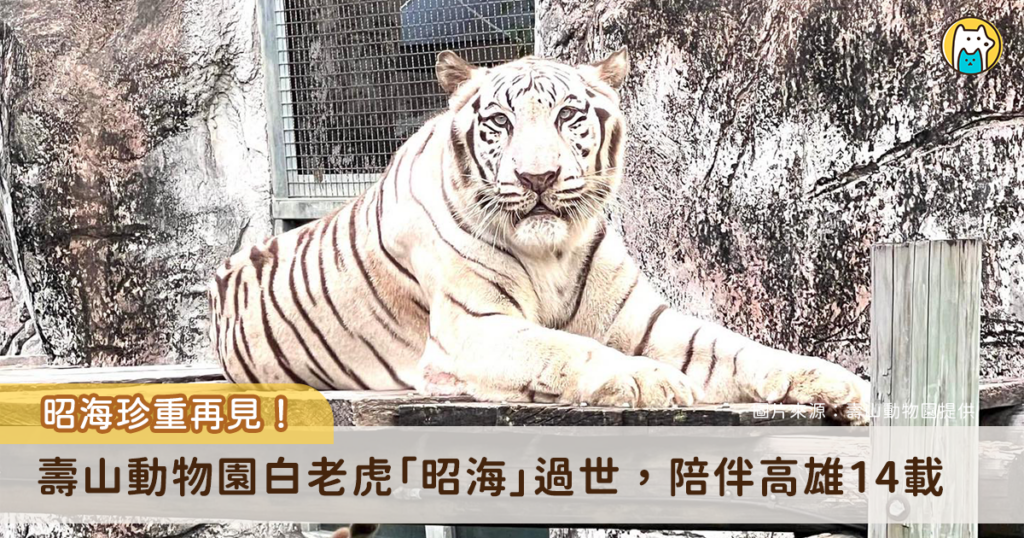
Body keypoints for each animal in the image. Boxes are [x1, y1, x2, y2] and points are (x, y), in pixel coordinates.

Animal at [207, 48, 870, 423]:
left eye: (567, 116)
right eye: (499, 122)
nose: (537, 177)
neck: (551, 249)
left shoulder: (645, 321)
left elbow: (735, 348)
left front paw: (838, 383)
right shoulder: (473, 328)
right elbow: (564, 347)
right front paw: (649, 379)